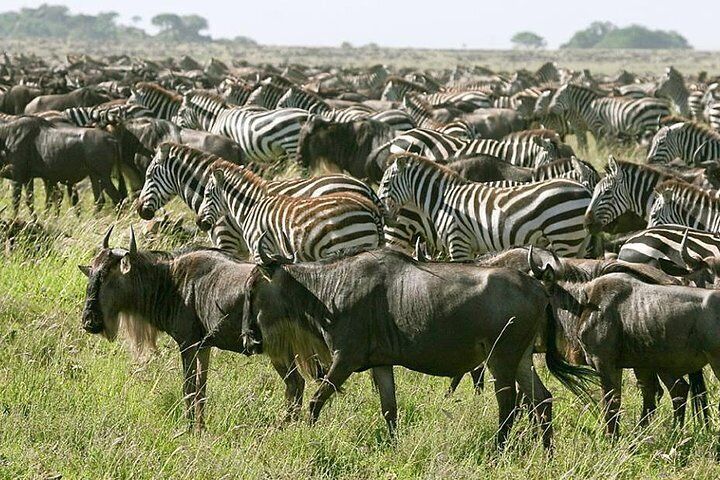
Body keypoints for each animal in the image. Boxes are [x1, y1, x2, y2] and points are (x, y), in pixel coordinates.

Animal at [378, 153, 593, 259]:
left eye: (386, 183)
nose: (381, 211)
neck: (442, 199)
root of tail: (585, 190)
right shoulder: (467, 247)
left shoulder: (458, 242)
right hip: (577, 242)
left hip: (564, 236)